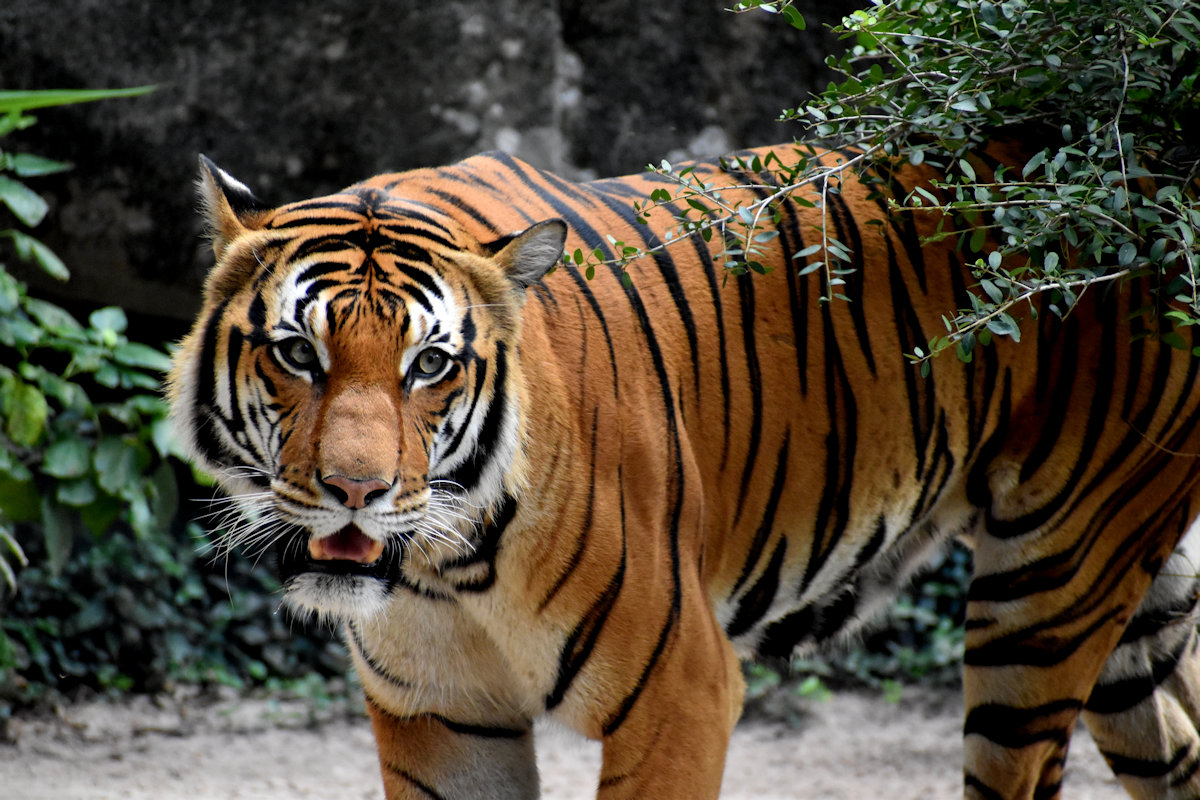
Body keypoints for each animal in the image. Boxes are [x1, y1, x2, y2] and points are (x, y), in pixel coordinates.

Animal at [167, 142, 1200, 800]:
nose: (357, 493)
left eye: (430, 365)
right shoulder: (442, 716)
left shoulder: (682, 692)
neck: (445, 568)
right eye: (297, 354)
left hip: (1044, 597)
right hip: (1127, 611)